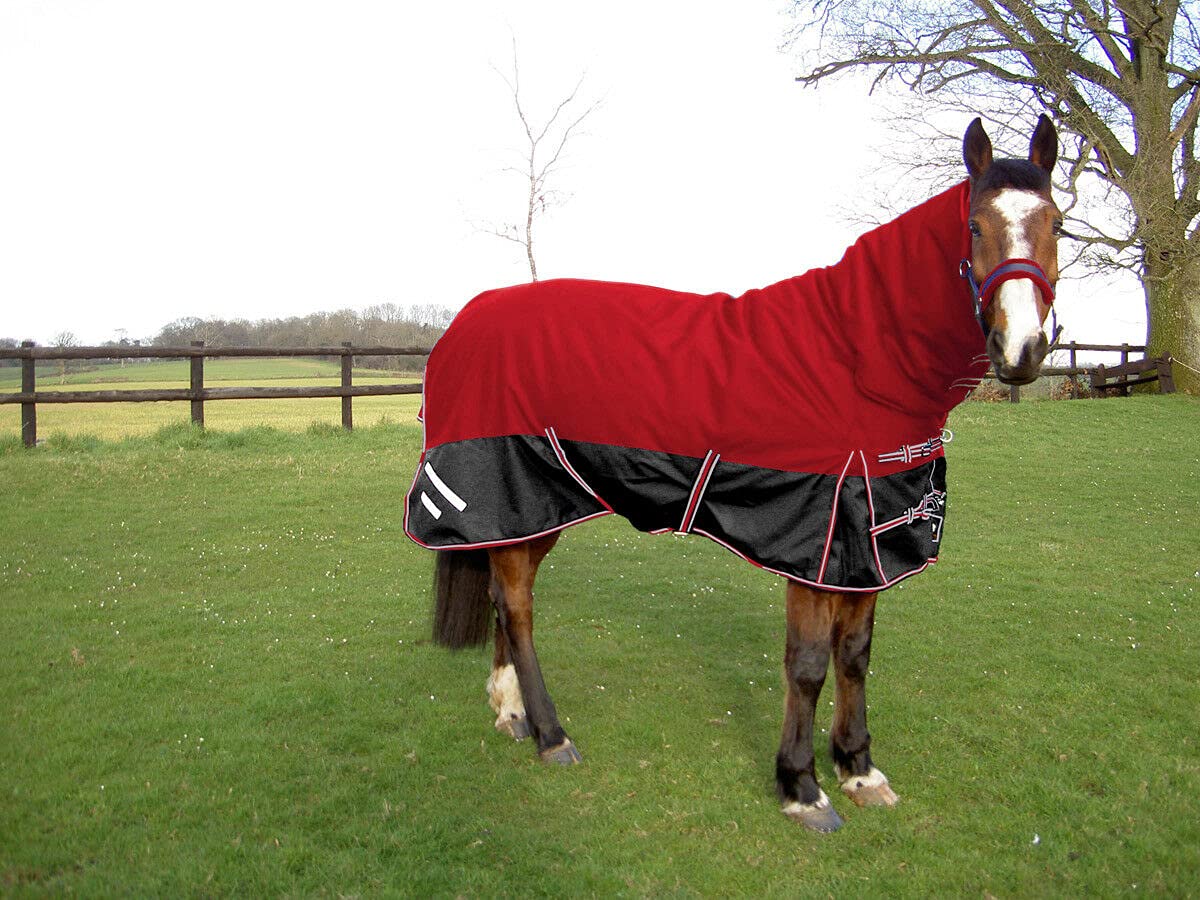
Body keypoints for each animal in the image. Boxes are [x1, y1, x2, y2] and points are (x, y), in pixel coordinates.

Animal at [405, 116, 1062, 832]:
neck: (855, 358)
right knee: (518, 607)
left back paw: (511, 710)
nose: (1023, 349)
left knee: (506, 597)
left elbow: (855, 654)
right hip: (514, 497)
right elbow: (808, 664)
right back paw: (553, 735)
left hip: (535, 509)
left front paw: (859, 770)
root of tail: (460, 326)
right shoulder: (818, 547)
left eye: (1058, 222)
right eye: (975, 226)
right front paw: (802, 787)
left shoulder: (870, 546)